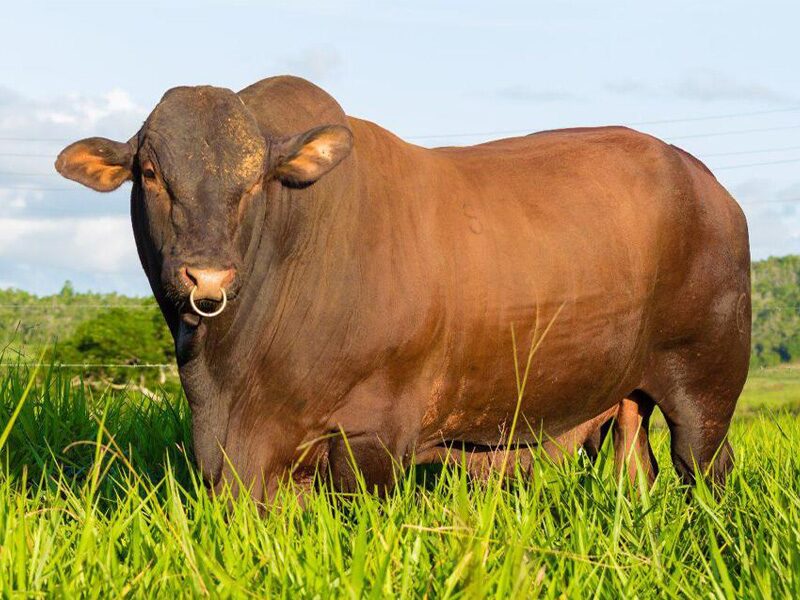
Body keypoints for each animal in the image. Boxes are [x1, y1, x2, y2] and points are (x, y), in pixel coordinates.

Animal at [56, 76, 752, 502]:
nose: (207, 275)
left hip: (706, 389)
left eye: (255, 180)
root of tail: (706, 181)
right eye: (150, 172)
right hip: (627, 396)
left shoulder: (370, 435)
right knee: (638, 471)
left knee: (705, 470)